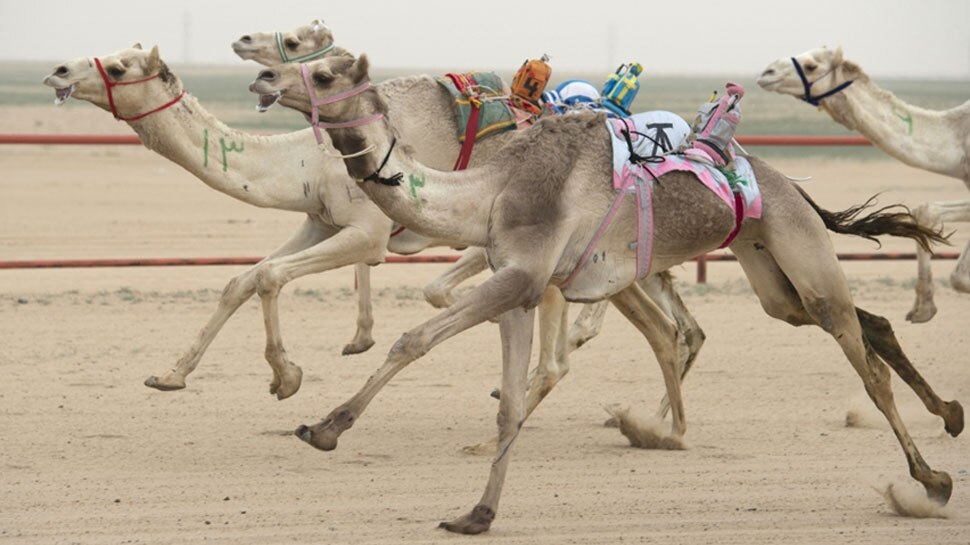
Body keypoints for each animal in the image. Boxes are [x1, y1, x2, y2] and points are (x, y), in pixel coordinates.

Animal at [41, 44, 700, 418]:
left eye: (119, 65)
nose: (56, 70)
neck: (304, 160)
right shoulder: (317, 221)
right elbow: (244, 278)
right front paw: (169, 375)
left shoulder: (367, 231)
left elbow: (272, 276)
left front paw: (286, 378)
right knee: (675, 324)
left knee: (604, 327)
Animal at [756, 46, 968, 324]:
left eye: (812, 66)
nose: (766, 73)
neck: (956, 137)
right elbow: (926, 212)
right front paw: (923, 310)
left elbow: (958, 276)